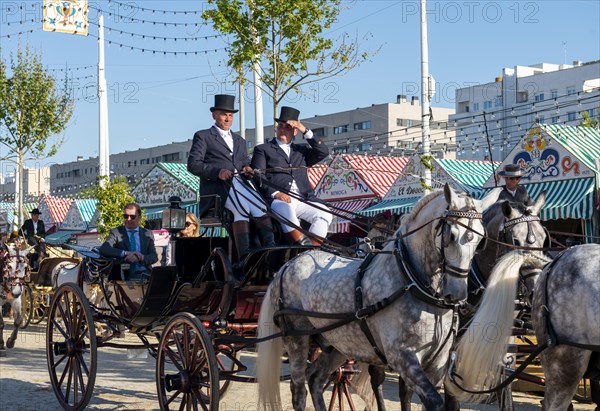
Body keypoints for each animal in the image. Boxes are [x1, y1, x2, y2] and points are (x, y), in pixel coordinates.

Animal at [255, 185, 500, 411]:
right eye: (451, 236)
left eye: (481, 241)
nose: (457, 294)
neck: (411, 281)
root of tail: (287, 265)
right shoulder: (403, 358)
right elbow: (433, 402)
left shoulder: (437, 363)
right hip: (297, 339)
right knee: (298, 390)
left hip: (339, 344)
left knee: (315, 378)